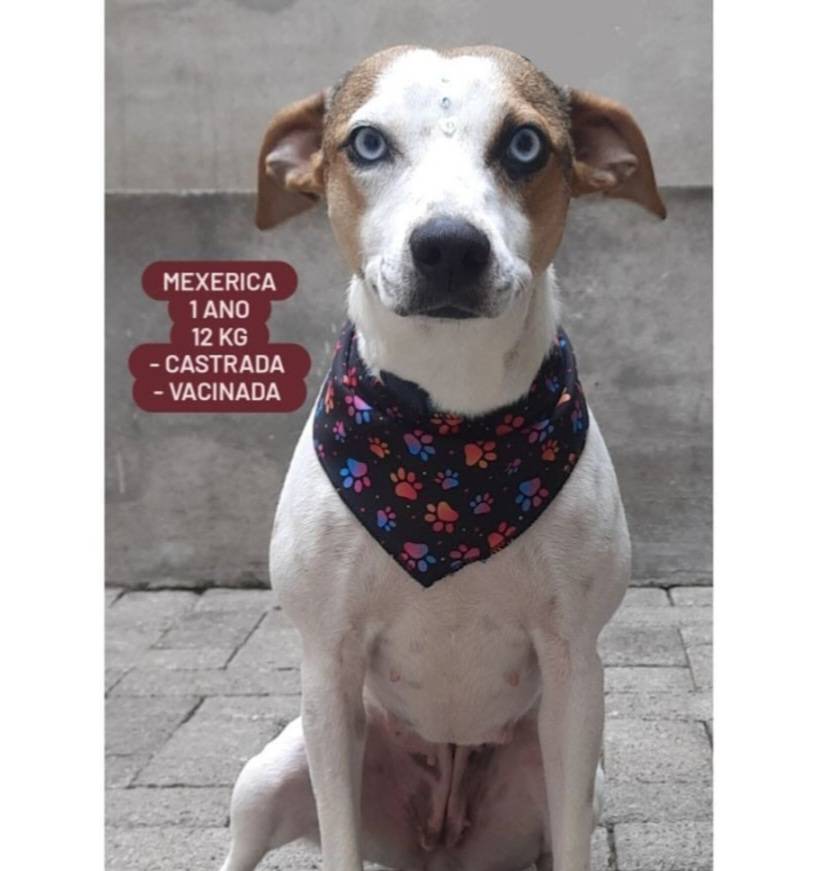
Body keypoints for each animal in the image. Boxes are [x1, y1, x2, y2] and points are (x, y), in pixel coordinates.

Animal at [220, 45, 664, 871]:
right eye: (367, 142)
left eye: (525, 143)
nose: (451, 244)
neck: (449, 450)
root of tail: (439, 841)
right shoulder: (327, 667)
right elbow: (336, 837)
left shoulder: (574, 668)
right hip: (272, 771)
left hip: (557, 767)